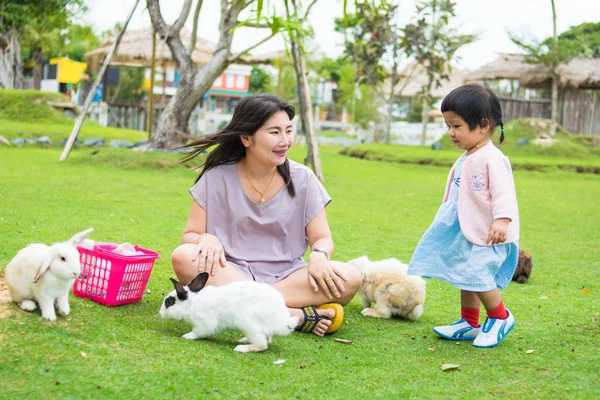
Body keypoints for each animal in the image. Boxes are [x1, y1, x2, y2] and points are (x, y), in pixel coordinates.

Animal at [161, 272, 298, 354]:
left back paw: (241, 348)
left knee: (263, 345)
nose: (160, 312)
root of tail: (284, 322)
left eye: (169, 302)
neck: (191, 303)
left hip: (250, 325)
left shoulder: (204, 323)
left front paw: (187, 336)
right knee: (268, 339)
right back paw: (243, 340)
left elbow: (199, 332)